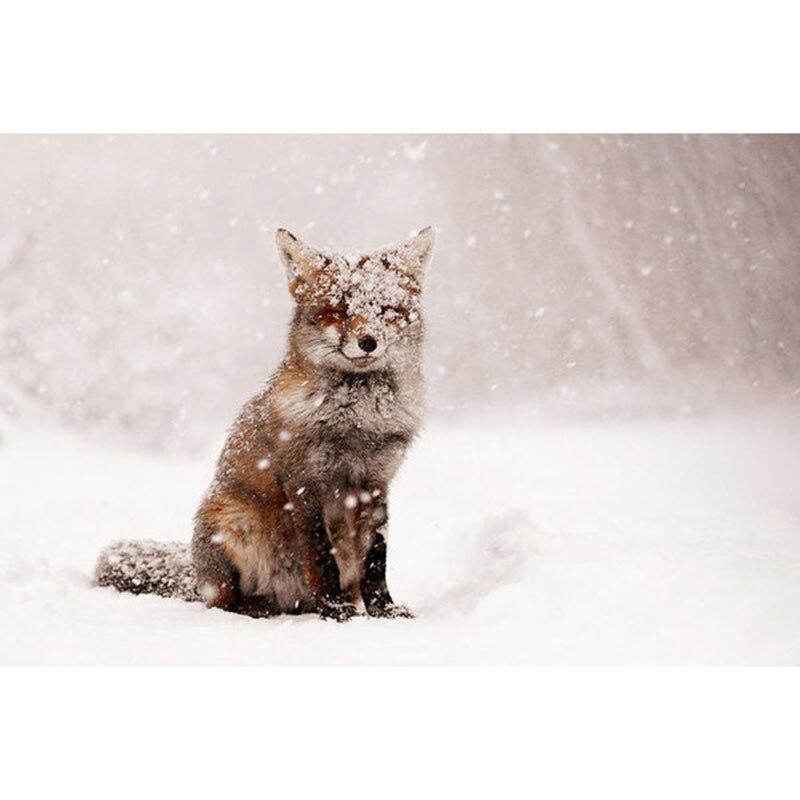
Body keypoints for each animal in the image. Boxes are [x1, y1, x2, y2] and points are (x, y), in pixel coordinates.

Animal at [95, 226, 435, 621]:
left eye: (386, 310)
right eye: (338, 310)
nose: (369, 342)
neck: (356, 423)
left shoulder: (376, 482)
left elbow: (376, 558)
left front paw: (384, 610)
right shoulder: (305, 482)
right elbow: (321, 556)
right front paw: (336, 611)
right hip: (233, 523)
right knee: (225, 603)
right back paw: (260, 607)